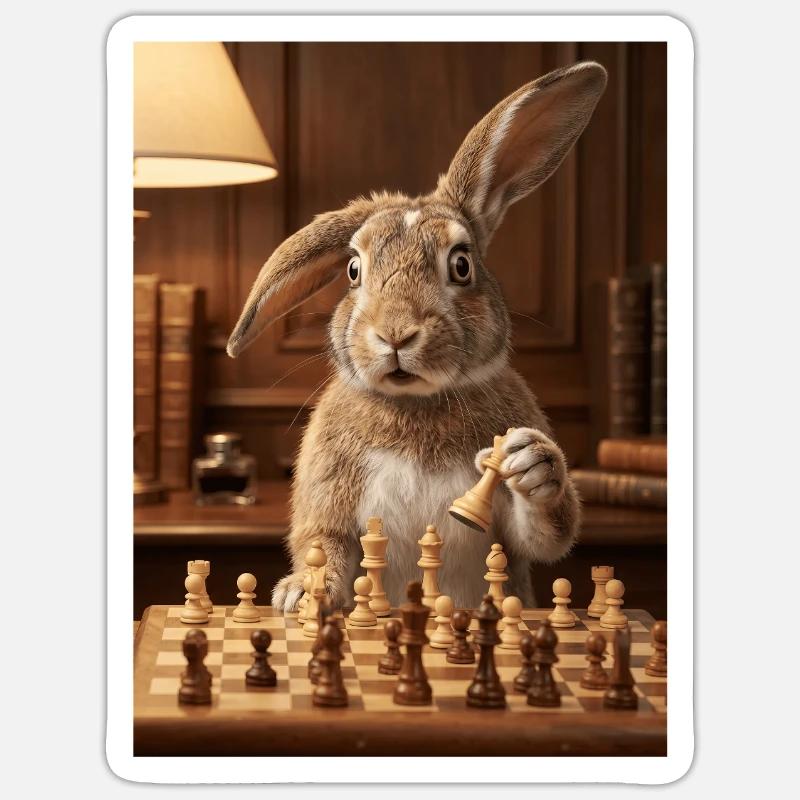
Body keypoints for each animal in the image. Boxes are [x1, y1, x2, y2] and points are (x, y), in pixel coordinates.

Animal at [227, 61, 607, 612]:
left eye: (462, 265)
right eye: (353, 270)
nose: (395, 334)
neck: (416, 404)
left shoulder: (506, 532)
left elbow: (544, 535)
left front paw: (533, 464)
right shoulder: (328, 493)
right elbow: (323, 541)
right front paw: (300, 595)